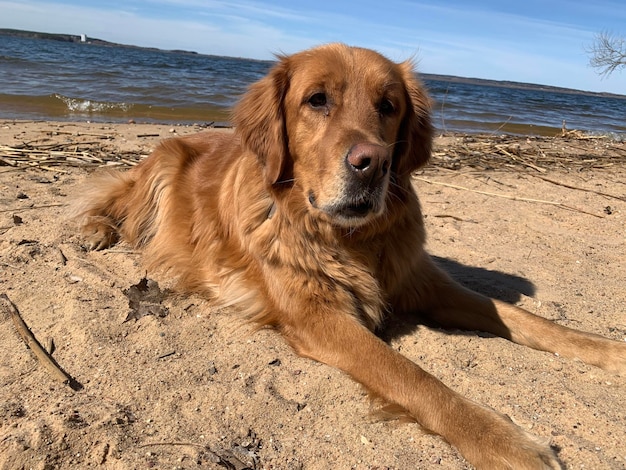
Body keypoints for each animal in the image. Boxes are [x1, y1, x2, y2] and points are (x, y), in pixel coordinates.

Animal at [75, 44, 620, 470]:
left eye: (389, 105)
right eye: (317, 100)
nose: (372, 163)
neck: (351, 239)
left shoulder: (423, 282)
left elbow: (524, 318)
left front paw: (609, 350)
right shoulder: (318, 316)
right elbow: (411, 375)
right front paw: (503, 441)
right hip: (161, 168)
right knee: (114, 203)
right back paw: (96, 230)